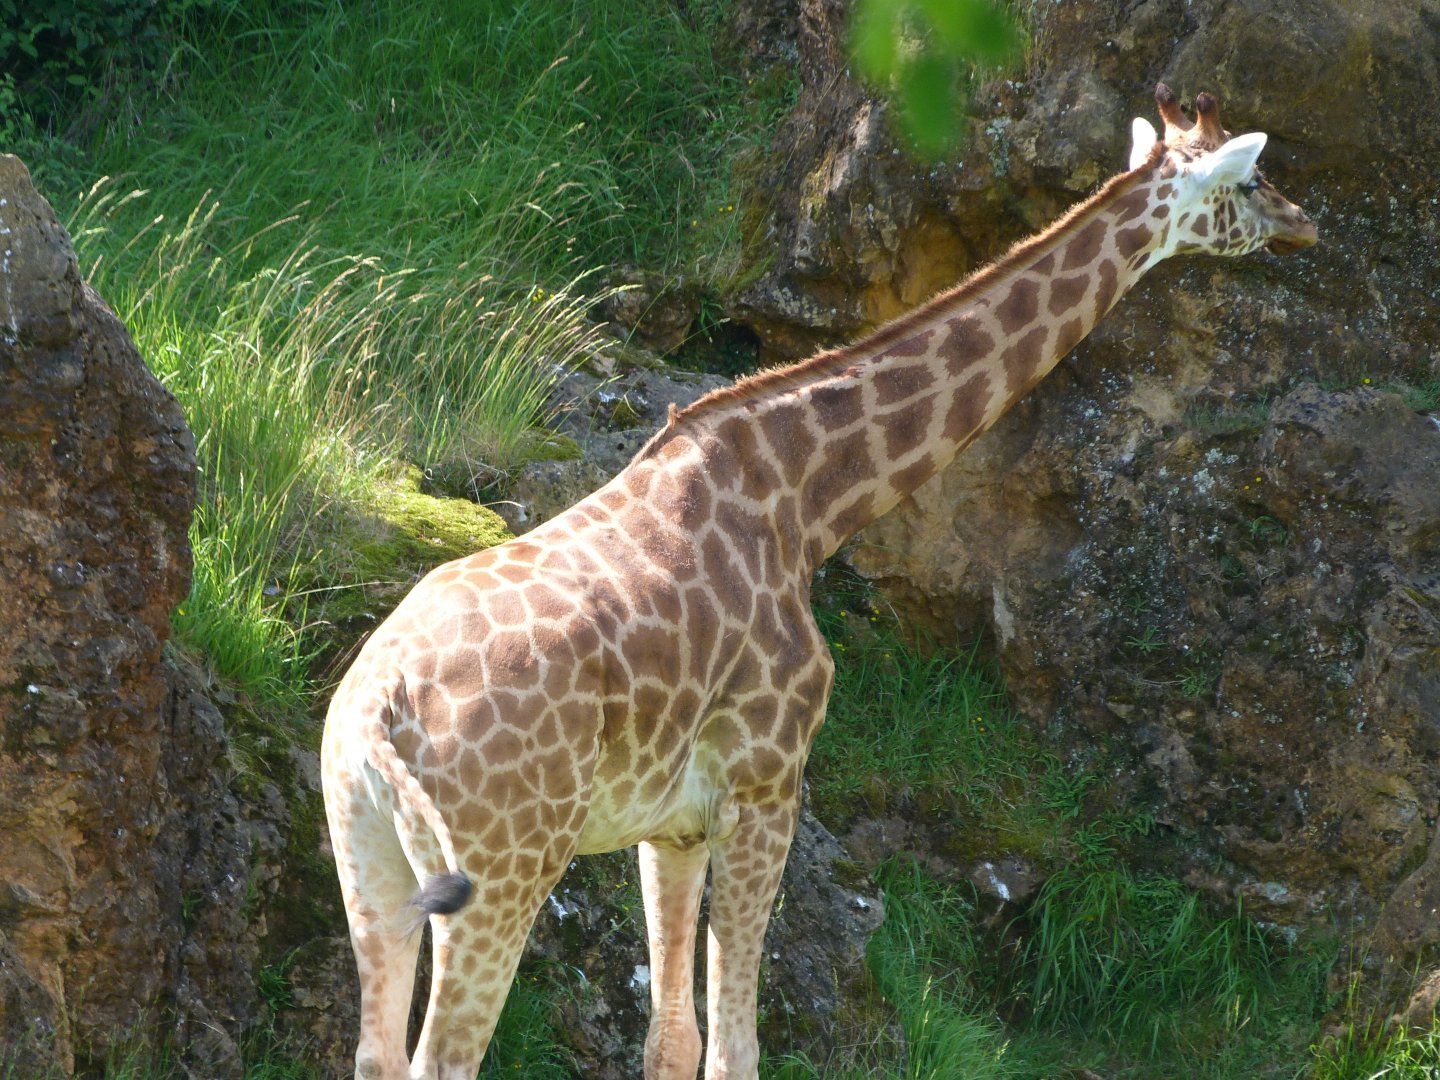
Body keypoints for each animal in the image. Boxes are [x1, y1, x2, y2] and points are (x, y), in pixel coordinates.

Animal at [321, 83, 1316, 1080]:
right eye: (1253, 178)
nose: (1305, 224)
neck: (808, 502)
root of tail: (377, 707)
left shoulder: (671, 821)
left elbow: (673, 1040)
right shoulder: (767, 782)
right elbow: (736, 1046)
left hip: (370, 858)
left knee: (375, 1050)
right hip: (503, 866)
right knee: (442, 1057)